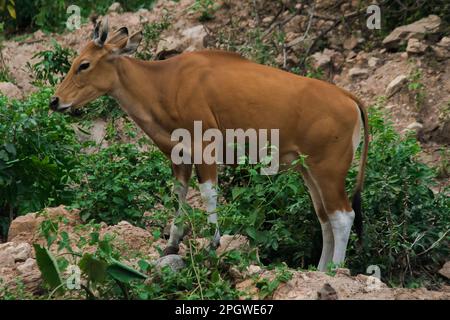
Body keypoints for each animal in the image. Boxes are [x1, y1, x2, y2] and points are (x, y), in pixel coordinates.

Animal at [51, 18, 370, 272]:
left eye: (84, 64)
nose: (55, 101)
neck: (163, 83)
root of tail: (348, 98)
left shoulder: (205, 148)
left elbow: (207, 194)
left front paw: (213, 242)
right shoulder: (179, 156)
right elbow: (179, 195)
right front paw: (172, 244)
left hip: (329, 170)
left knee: (342, 216)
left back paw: (335, 270)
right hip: (308, 171)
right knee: (325, 217)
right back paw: (321, 270)